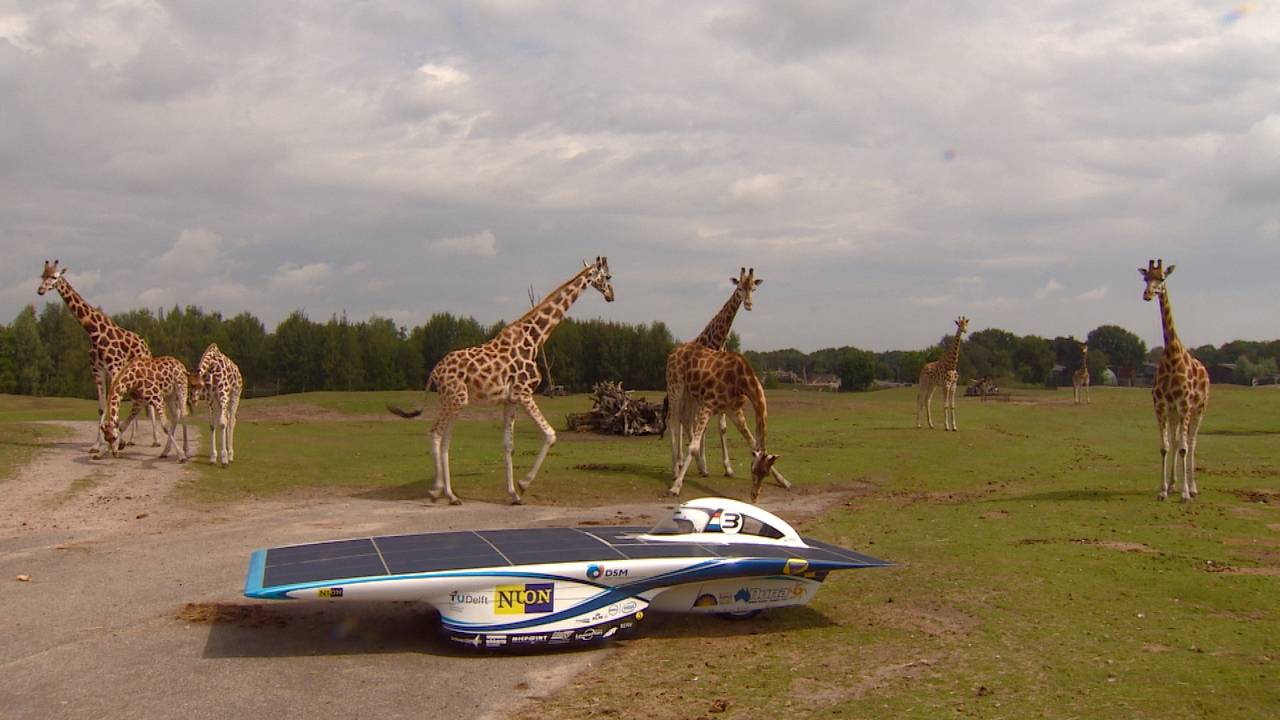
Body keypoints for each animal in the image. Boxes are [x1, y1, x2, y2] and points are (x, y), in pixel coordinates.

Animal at [37, 260, 159, 452]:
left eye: (55, 277)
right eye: (42, 275)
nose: (40, 290)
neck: (94, 332)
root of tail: (146, 346)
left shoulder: (115, 368)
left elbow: (113, 401)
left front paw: (116, 440)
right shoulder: (97, 370)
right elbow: (102, 406)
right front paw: (97, 444)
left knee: (147, 403)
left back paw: (155, 440)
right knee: (138, 402)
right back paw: (132, 439)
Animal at [388, 257, 615, 505]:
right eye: (608, 276)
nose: (611, 295)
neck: (535, 339)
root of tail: (434, 372)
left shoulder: (511, 399)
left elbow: (508, 445)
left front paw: (514, 494)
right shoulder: (524, 393)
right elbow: (550, 434)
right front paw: (523, 484)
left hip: (454, 401)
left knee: (446, 438)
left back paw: (452, 495)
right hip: (455, 399)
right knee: (435, 433)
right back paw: (436, 490)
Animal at [665, 267, 763, 480]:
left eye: (753, 288)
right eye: (739, 287)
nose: (749, 305)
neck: (717, 342)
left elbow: (721, 427)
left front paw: (727, 468)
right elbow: (699, 428)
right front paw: (700, 464)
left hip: (689, 395)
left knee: (684, 419)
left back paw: (690, 464)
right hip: (678, 391)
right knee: (676, 420)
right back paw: (677, 465)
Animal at [666, 345, 784, 503]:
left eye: (766, 474)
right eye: (752, 469)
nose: (754, 497)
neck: (741, 380)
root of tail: (675, 350)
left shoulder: (733, 410)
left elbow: (752, 442)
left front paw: (783, 481)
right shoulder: (708, 405)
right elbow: (693, 447)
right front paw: (675, 488)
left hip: (689, 392)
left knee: (684, 418)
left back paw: (700, 467)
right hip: (675, 385)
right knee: (673, 421)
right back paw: (675, 470)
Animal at [1140, 259, 1210, 502]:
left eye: (1162, 278)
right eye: (1145, 278)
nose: (1147, 294)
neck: (1172, 355)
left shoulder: (1185, 404)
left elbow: (1183, 447)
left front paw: (1186, 493)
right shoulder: (1161, 405)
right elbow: (1165, 445)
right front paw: (1163, 490)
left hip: (1199, 409)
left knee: (1191, 442)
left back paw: (1193, 487)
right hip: (1174, 413)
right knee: (1177, 438)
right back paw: (1173, 484)